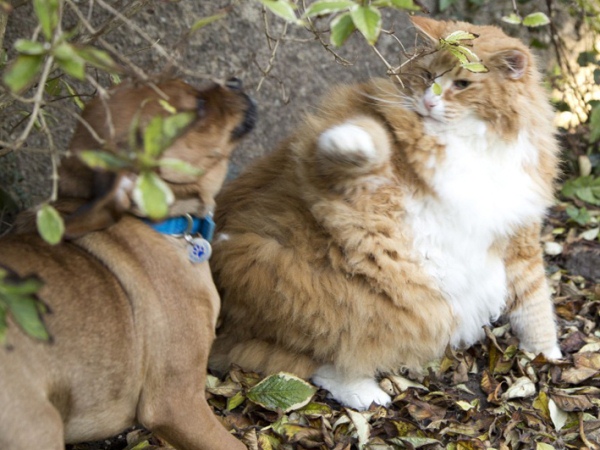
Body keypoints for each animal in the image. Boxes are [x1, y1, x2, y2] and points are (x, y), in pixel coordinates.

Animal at [207, 16, 564, 412]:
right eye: (427, 75)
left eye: (462, 84)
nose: (428, 101)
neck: (472, 146)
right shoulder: (342, 175)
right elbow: (365, 140)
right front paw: (347, 139)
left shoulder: (518, 237)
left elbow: (535, 304)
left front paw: (546, 355)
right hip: (304, 285)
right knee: (320, 360)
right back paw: (368, 396)